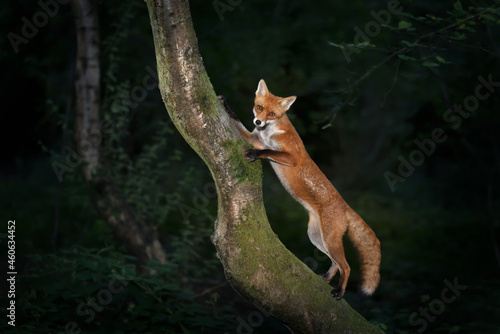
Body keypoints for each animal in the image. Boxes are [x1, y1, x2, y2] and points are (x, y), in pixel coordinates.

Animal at [221, 79, 380, 298]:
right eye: (259, 108)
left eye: (272, 114)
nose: (258, 122)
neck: (270, 132)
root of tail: (346, 206)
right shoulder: (255, 138)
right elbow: (239, 123)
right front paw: (227, 107)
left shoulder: (292, 156)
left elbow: (268, 151)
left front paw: (254, 154)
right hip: (316, 237)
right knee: (336, 264)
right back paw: (327, 278)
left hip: (329, 240)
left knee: (346, 266)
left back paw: (340, 291)